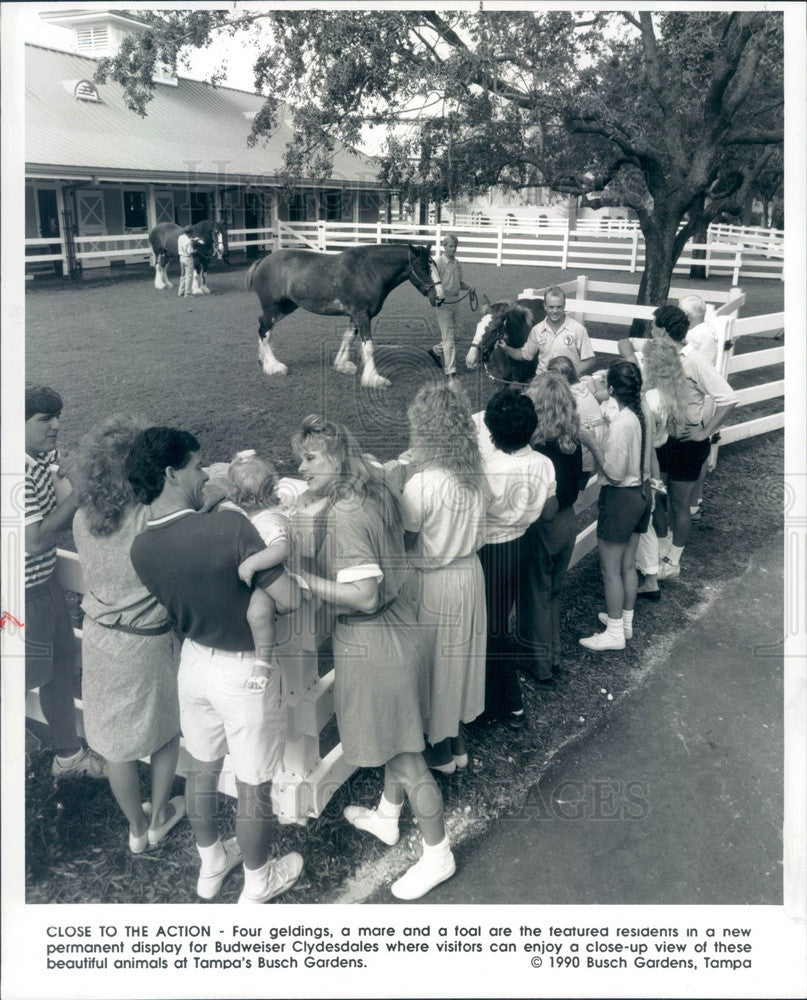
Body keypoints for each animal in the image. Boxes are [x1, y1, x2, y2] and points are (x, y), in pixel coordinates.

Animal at [248, 244, 448, 388]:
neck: (370, 271)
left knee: (262, 327)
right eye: (424, 267)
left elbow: (348, 337)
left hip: (286, 307)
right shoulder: (362, 315)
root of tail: (263, 261)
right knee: (264, 331)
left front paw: (341, 364)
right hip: (272, 308)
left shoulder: (356, 316)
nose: (440, 298)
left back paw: (263, 361)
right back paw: (274, 366)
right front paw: (374, 379)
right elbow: (368, 346)